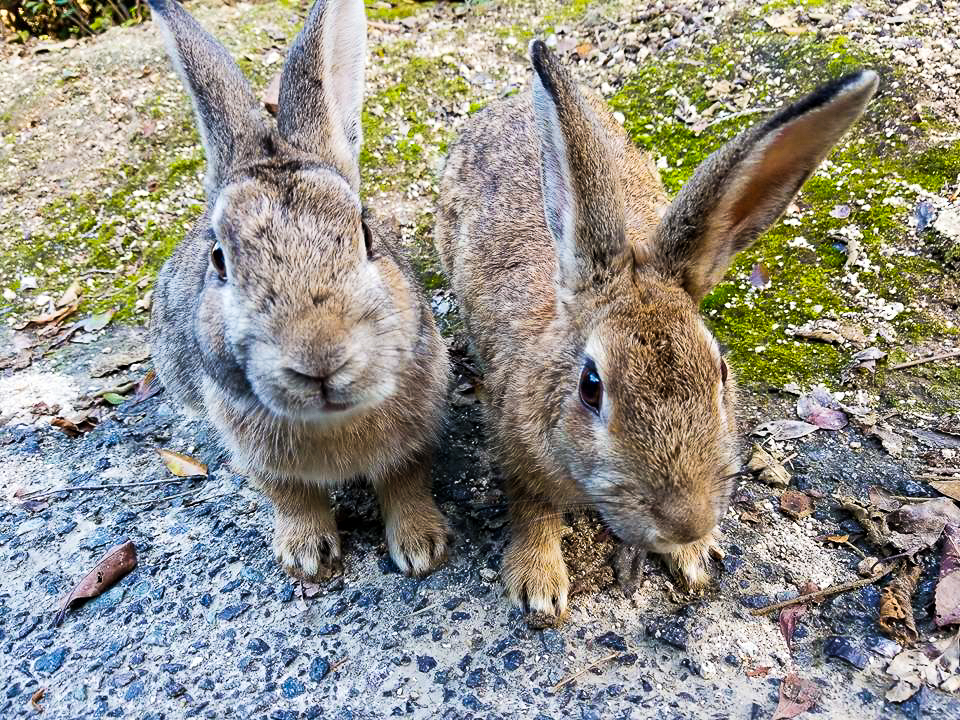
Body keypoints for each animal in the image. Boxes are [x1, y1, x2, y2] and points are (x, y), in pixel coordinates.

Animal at [148, 0, 452, 584]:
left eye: (365, 234)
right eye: (220, 260)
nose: (320, 360)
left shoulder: (417, 435)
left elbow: (405, 482)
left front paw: (423, 548)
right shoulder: (261, 461)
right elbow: (291, 497)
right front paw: (308, 557)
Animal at [436, 39, 876, 620]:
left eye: (721, 371)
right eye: (591, 388)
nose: (686, 521)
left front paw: (694, 556)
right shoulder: (514, 444)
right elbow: (532, 509)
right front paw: (539, 584)